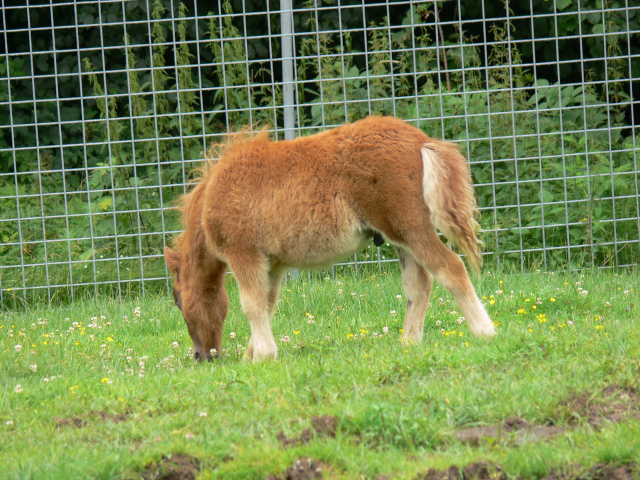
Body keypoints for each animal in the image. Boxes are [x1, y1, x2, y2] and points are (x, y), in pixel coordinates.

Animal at [164, 116, 496, 362]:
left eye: (178, 300)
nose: (202, 356)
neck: (213, 197)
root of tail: (420, 140)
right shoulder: (274, 264)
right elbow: (267, 304)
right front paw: (253, 354)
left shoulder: (244, 253)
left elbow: (252, 305)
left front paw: (262, 356)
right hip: (403, 238)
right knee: (419, 286)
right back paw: (409, 343)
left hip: (410, 227)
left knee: (451, 268)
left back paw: (485, 332)